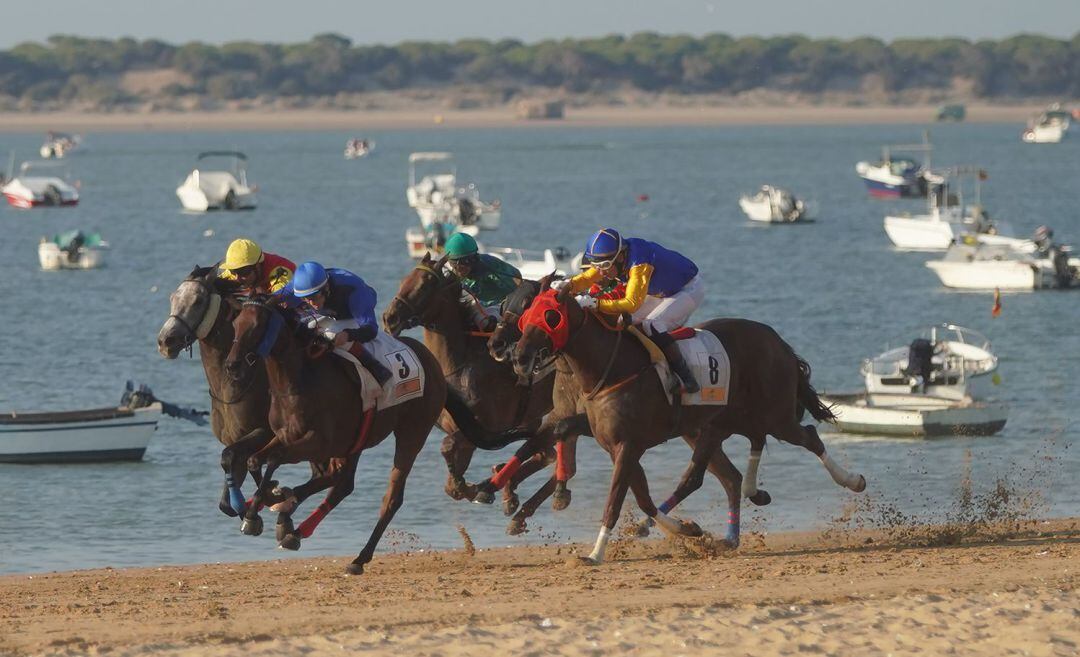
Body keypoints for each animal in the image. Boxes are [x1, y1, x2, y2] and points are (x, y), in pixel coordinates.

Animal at [224, 298, 451, 574]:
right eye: (235, 323)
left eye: (257, 325)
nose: (232, 365)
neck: (296, 382)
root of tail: (430, 359)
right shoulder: (287, 435)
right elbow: (255, 460)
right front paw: (269, 500)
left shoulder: (320, 441)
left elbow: (275, 458)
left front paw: (259, 510)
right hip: (355, 440)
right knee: (341, 483)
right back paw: (292, 526)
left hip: (412, 432)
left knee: (390, 497)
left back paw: (358, 558)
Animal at [384, 253, 557, 510]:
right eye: (404, 280)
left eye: (424, 285)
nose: (389, 318)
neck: (460, 366)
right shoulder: (465, 433)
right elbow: (452, 485)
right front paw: (477, 488)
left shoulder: (482, 429)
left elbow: (447, 449)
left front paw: (479, 488)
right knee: (546, 452)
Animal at [494, 283, 864, 566]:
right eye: (526, 316)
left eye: (549, 316)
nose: (518, 357)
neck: (612, 369)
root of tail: (777, 340)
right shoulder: (616, 445)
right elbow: (641, 496)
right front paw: (686, 529)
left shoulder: (628, 445)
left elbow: (615, 500)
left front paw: (595, 554)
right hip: (721, 424)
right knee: (727, 470)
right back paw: (738, 517)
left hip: (775, 414)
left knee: (809, 437)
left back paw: (853, 480)